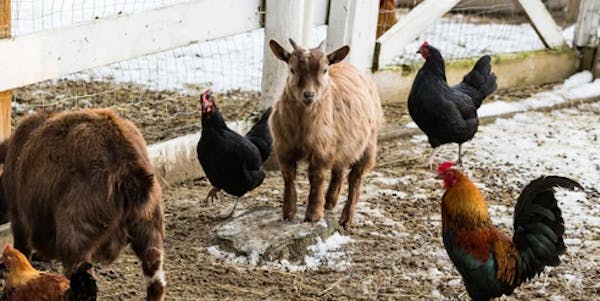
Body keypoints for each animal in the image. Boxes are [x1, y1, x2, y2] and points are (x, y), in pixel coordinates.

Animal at [268, 38, 382, 229]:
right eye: (292, 69)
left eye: (324, 70)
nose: (309, 94)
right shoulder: (284, 148)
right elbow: (288, 177)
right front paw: (288, 212)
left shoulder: (321, 149)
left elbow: (317, 178)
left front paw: (314, 214)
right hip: (343, 143)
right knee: (339, 170)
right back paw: (330, 201)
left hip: (368, 143)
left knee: (355, 178)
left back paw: (346, 219)